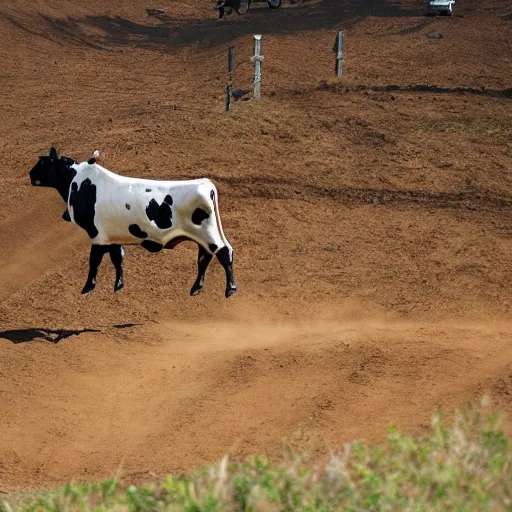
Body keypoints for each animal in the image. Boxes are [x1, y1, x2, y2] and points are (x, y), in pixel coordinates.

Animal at [31, 147, 239, 300]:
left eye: (43, 162)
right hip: (204, 235)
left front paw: (87, 287)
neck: (80, 183)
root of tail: (206, 183)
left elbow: (94, 261)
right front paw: (118, 285)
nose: (30, 174)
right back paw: (196, 287)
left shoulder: (97, 235)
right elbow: (117, 257)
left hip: (207, 233)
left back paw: (230, 289)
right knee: (206, 256)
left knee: (222, 253)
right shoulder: (112, 236)